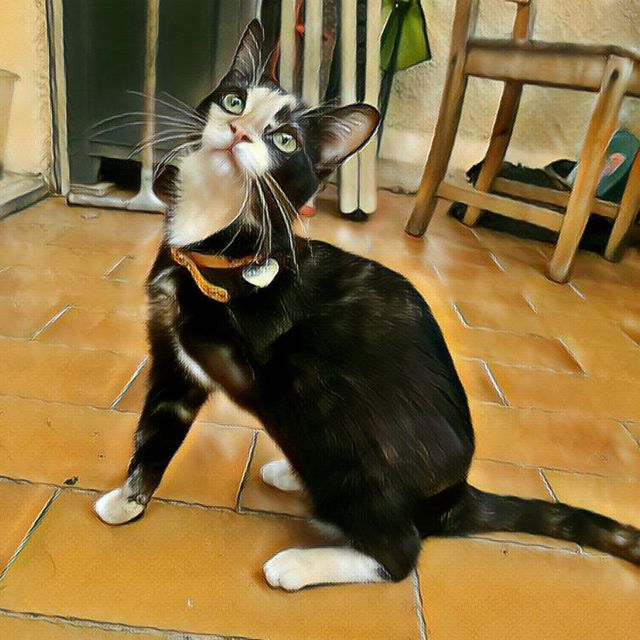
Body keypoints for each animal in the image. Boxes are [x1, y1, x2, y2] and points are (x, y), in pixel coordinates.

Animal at [95, 20, 640, 591]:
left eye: (284, 139)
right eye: (234, 100)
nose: (240, 131)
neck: (211, 241)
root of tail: (454, 498)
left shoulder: (246, 358)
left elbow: (216, 337)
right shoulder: (173, 369)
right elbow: (156, 430)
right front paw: (128, 500)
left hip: (336, 436)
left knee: (399, 553)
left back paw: (299, 563)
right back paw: (288, 475)